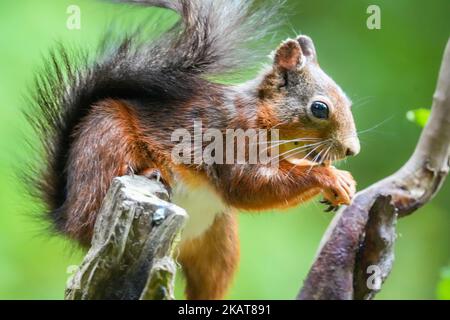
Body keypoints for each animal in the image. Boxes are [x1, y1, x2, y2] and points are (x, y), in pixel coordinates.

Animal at [27, 0, 358, 300]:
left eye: (347, 101)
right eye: (319, 108)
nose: (351, 150)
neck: (262, 119)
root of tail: (65, 214)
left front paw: (341, 184)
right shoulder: (230, 140)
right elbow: (249, 186)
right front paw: (331, 178)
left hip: (218, 243)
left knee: (208, 282)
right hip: (105, 138)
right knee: (94, 203)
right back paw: (149, 171)